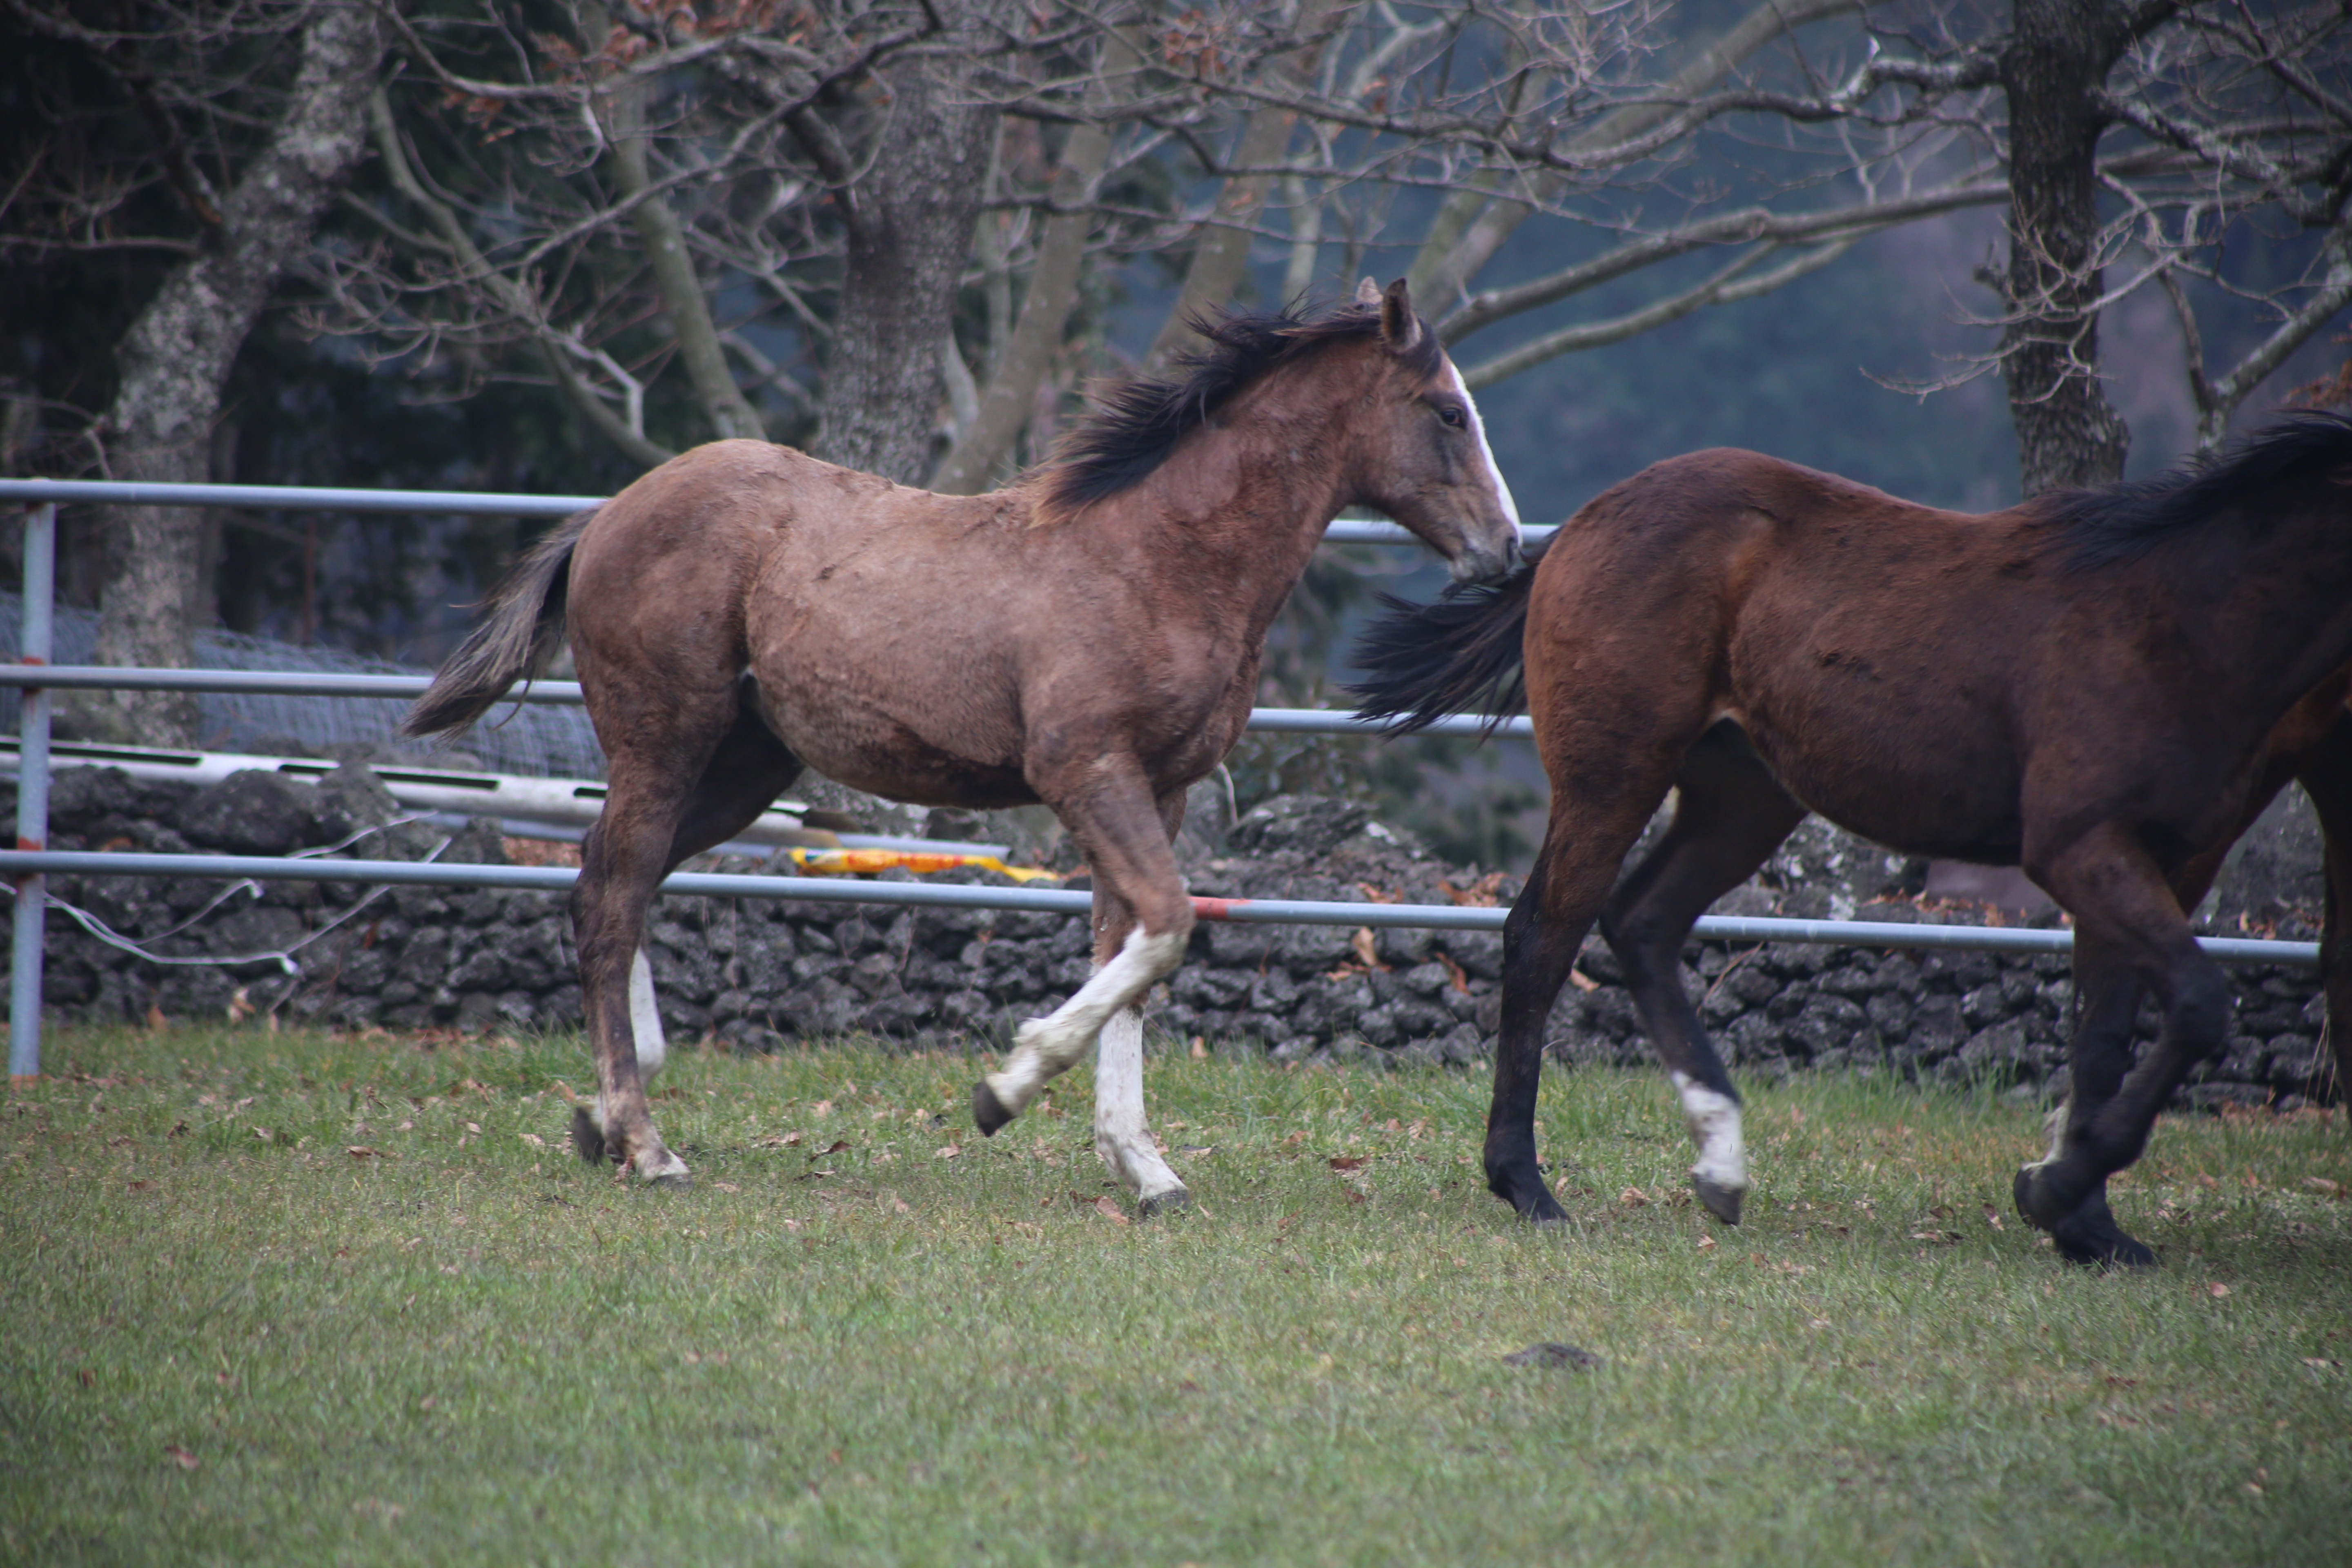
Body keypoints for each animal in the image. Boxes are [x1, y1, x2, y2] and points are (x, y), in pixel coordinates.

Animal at [404, 282, 1524, 1203]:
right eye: (1446, 411)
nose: (1505, 550)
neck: (1158, 559)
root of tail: (603, 519)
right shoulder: (1084, 771)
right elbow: (1164, 927)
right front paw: (1008, 1086)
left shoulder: (1155, 788)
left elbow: (1130, 950)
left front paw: (1144, 1169)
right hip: (663, 738)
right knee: (611, 891)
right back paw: (648, 1145)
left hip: (743, 769)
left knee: (616, 881)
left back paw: (605, 1113)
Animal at [1354, 421, 2352, 1278]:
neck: (2175, 618)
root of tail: (1582, 524)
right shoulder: (2081, 848)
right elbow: (2198, 1005)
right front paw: (2053, 1194)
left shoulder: (2165, 860)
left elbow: (2104, 1038)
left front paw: (2089, 1226)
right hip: (1615, 776)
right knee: (1543, 938)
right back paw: (1527, 1186)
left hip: (1744, 795)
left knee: (1641, 922)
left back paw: (1721, 1169)